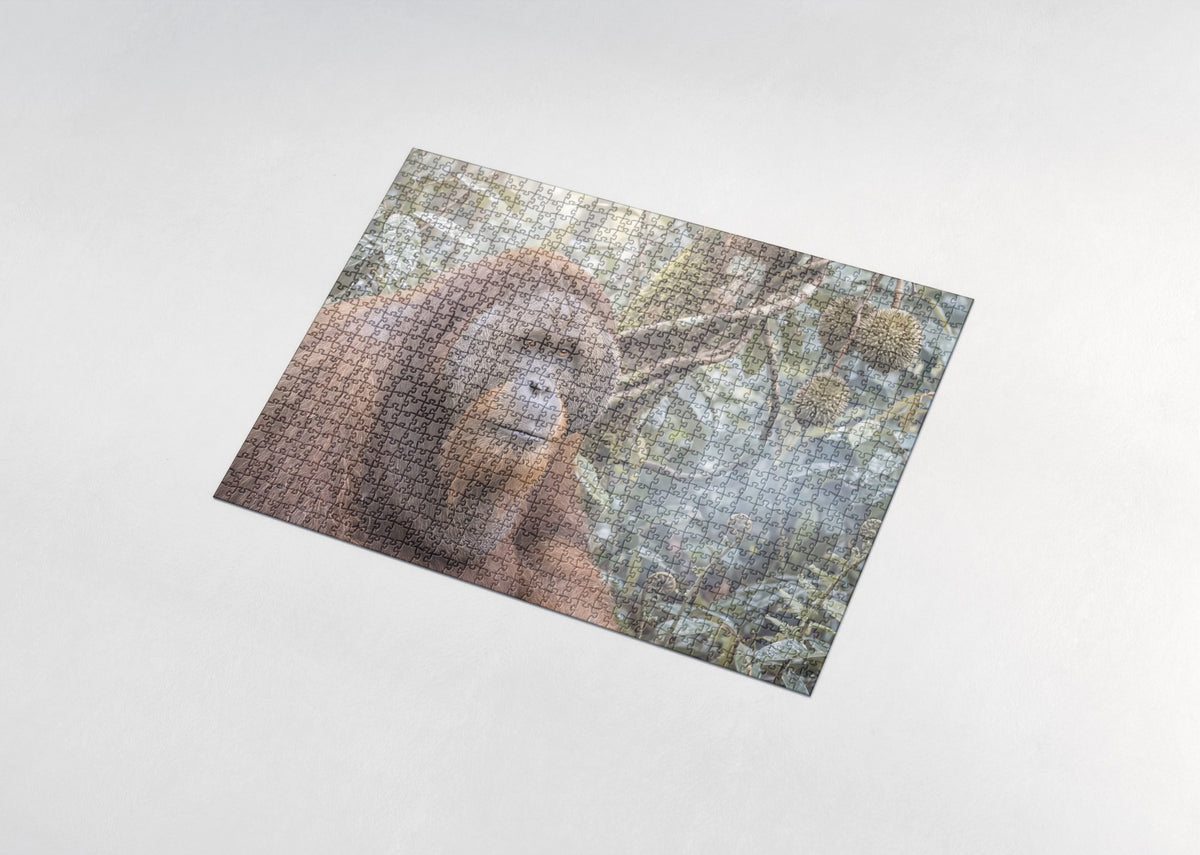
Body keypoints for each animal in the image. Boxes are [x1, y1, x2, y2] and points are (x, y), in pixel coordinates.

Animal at [215, 248, 621, 629]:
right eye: (528, 345)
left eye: (564, 353)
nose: (541, 387)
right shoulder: (338, 381)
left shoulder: (565, 439)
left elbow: (555, 551)